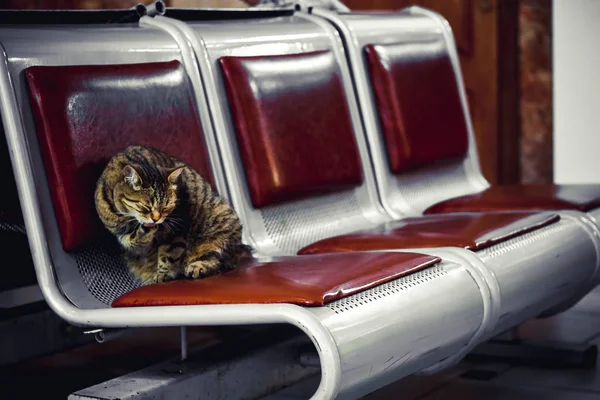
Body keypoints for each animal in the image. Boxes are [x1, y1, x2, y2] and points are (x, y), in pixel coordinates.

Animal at [93, 145, 251, 284]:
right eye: (146, 206)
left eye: (166, 207)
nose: (156, 219)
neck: (127, 217)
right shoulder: (121, 234)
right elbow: (131, 239)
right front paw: (144, 233)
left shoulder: (177, 227)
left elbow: (169, 253)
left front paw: (164, 273)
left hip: (218, 228)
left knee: (217, 260)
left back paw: (198, 267)